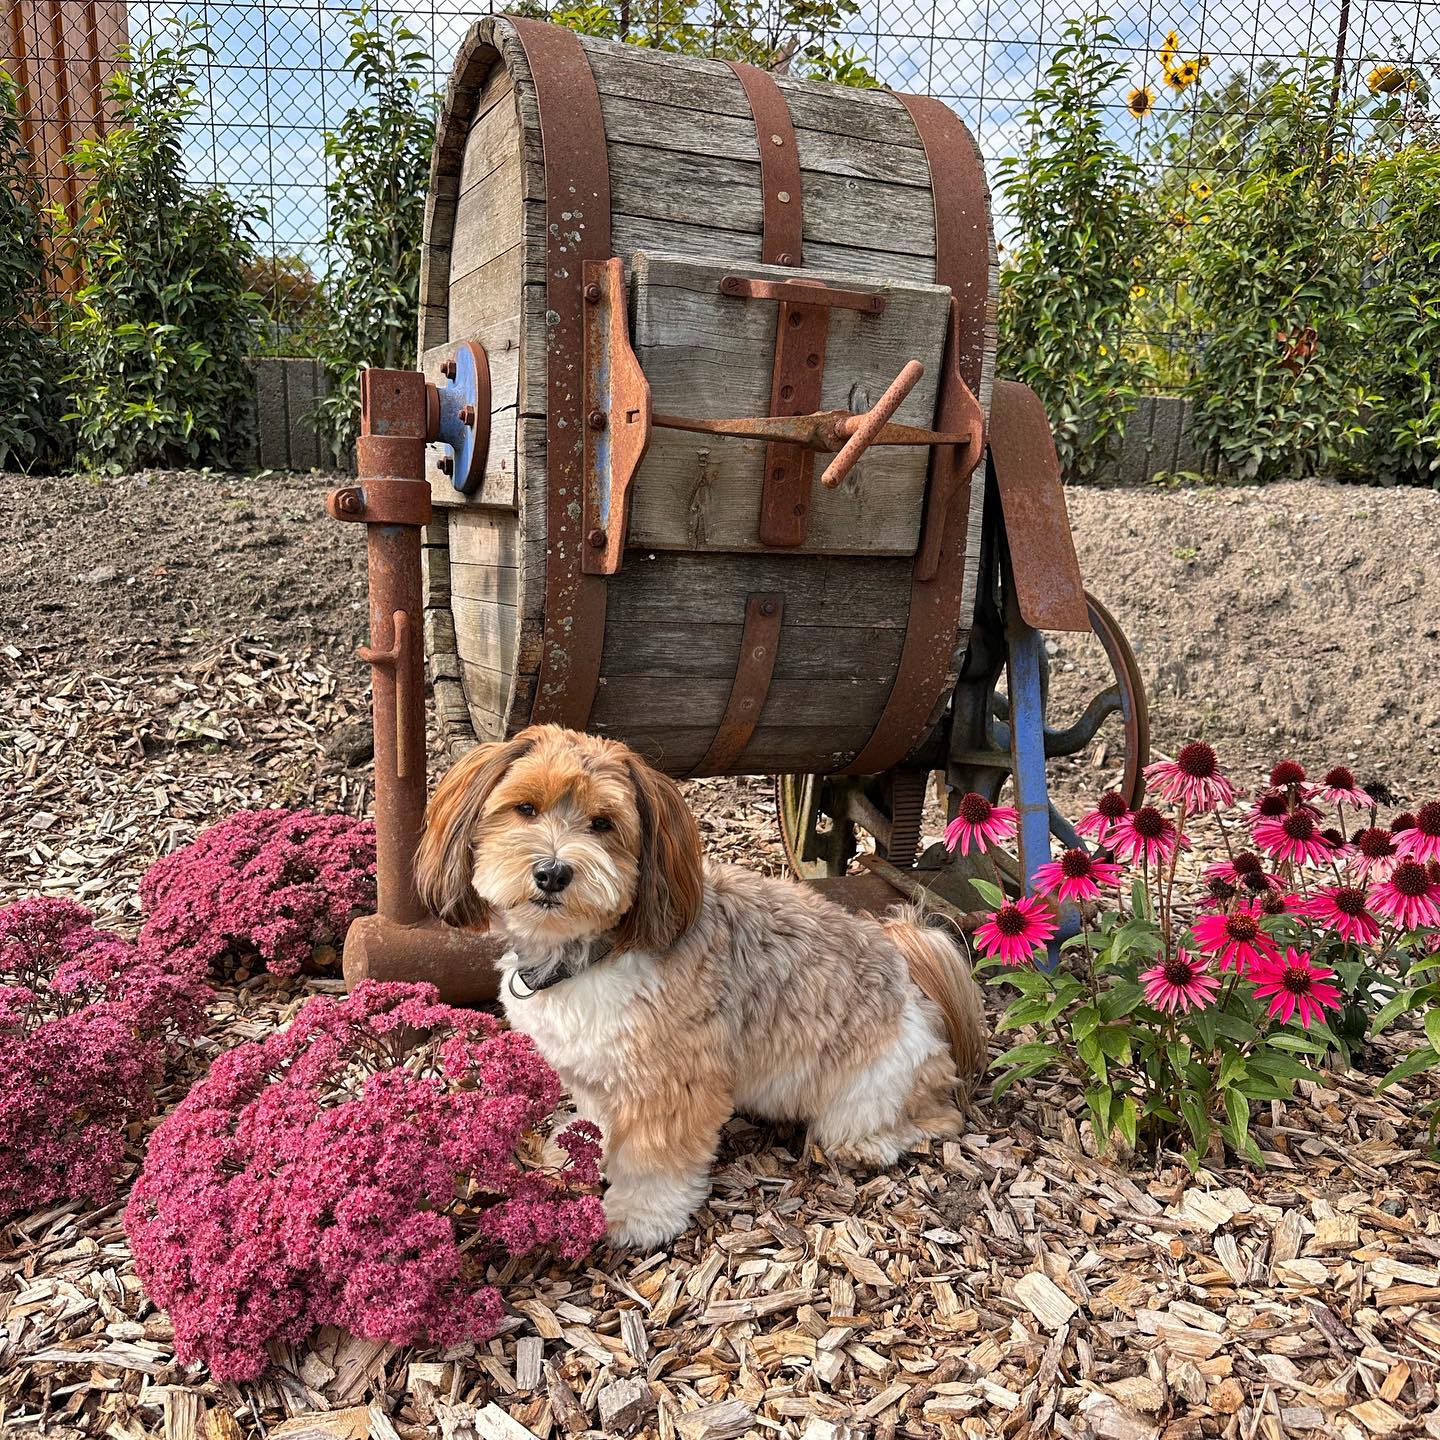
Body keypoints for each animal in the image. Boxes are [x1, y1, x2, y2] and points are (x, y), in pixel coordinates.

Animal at [415, 724, 987, 1249]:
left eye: (603, 824)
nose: (553, 872)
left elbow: (653, 1160)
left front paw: (637, 1216)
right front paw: (580, 1150)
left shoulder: (673, 1081)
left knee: (933, 1119)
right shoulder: (596, 1069)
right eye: (525, 808)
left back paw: (870, 1144)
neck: (592, 953)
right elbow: (600, 1122)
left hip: (871, 1087)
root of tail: (915, 986)